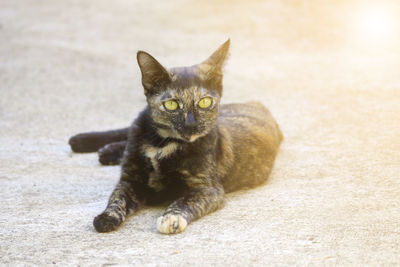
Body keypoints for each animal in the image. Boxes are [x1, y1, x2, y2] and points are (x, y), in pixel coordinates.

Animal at [69, 39, 282, 234]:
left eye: (205, 102)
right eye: (171, 105)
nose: (191, 125)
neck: (161, 144)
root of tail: (258, 104)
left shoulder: (208, 189)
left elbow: (185, 200)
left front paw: (171, 218)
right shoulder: (130, 180)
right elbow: (117, 198)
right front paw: (106, 217)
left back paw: (105, 151)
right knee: (125, 131)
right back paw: (84, 141)